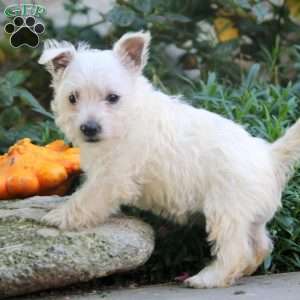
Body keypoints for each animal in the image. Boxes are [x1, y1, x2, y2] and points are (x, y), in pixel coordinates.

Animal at [39, 31, 300, 288]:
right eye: (72, 98)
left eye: (113, 97)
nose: (89, 128)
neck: (128, 117)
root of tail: (269, 156)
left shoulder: (112, 177)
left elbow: (86, 198)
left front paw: (60, 216)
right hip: (250, 217)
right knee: (261, 246)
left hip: (226, 211)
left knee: (236, 251)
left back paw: (207, 278)